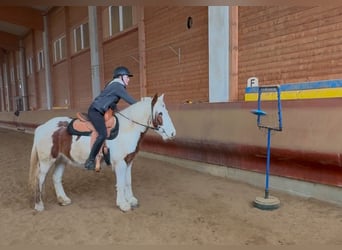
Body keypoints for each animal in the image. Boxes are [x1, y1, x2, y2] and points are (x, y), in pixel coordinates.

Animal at [28, 94, 176, 211]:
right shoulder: (120, 164)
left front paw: (131, 200)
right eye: (160, 113)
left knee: (56, 178)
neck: (127, 129)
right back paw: (39, 205)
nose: (173, 133)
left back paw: (63, 200)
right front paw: (123, 204)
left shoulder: (128, 162)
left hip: (61, 160)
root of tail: (42, 127)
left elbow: (128, 181)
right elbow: (121, 183)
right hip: (46, 161)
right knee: (39, 179)